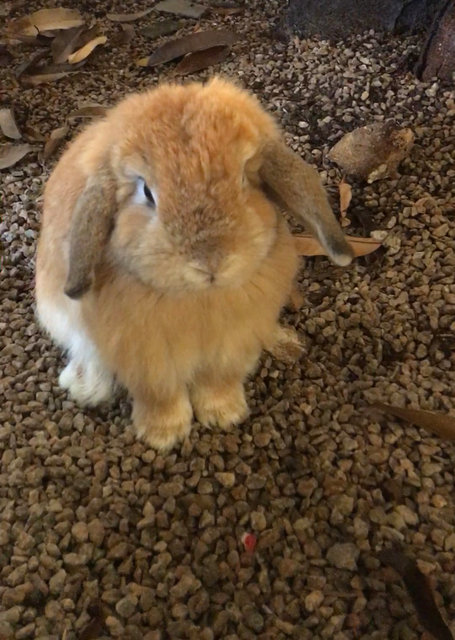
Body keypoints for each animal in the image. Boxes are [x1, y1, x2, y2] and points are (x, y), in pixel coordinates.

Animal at [35, 76, 354, 450]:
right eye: (147, 193)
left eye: (244, 179)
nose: (210, 263)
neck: (200, 300)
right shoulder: (146, 360)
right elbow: (159, 395)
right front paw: (163, 434)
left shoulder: (231, 348)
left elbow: (218, 382)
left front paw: (224, 414)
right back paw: (85, 386)